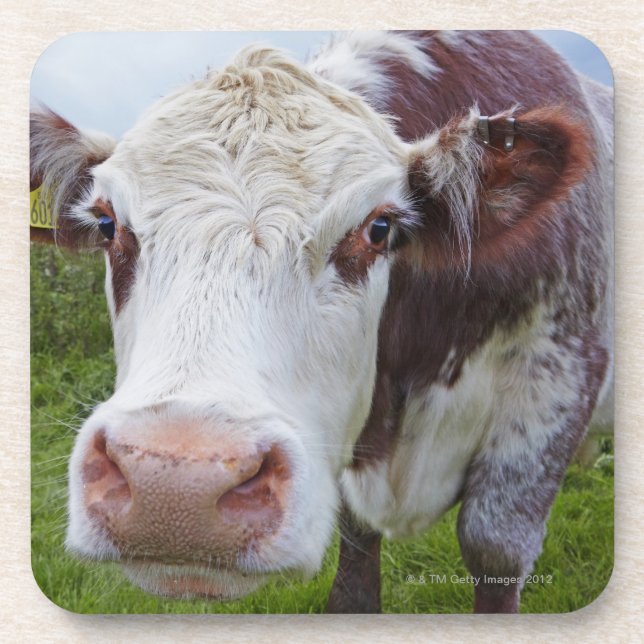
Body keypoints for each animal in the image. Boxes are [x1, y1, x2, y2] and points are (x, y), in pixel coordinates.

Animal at [30, 30, 613, 613]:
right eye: (107, 224)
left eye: (379, 228)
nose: (174, 488)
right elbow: (356, 561)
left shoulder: (559, 380)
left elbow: (495, 548)